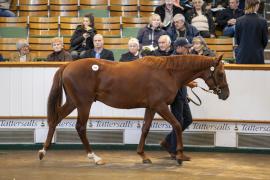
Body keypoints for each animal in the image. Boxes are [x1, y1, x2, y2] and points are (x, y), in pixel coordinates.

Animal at [39, 54, 230, 165]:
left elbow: (145, 128)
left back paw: (43, 151)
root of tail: (68, 65)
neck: (168, 72)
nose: (226, 94)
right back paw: (94, 157)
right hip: (84, 104)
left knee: (55, 119)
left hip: (73, 102)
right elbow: (176, 125)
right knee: (80, 127)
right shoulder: (160, 105)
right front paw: (180, 155)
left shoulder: (151, 107)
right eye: (221, 74)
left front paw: (143, 155)